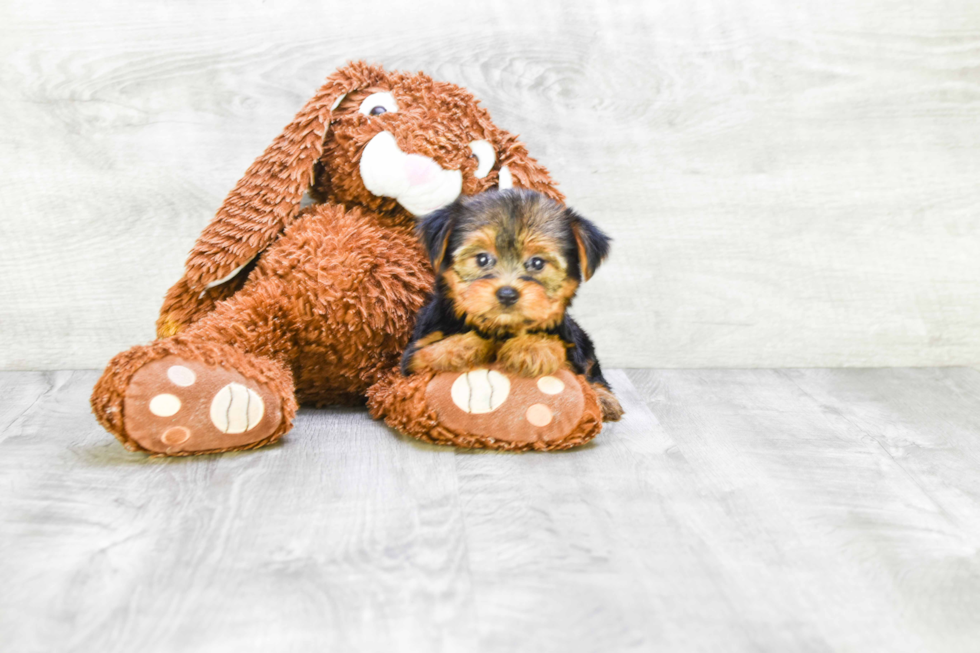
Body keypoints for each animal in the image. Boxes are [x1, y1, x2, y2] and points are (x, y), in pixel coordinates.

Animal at [402, 188, 624, 422]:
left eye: (537, 263)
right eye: (482, 259)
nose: (507, 294)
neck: (500, 329)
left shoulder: (571, 356)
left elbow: (563, 354)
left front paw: (532, 347)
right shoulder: (412, 355)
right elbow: (427, 352)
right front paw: (464, 345)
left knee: (592, 370)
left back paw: (605, 399)